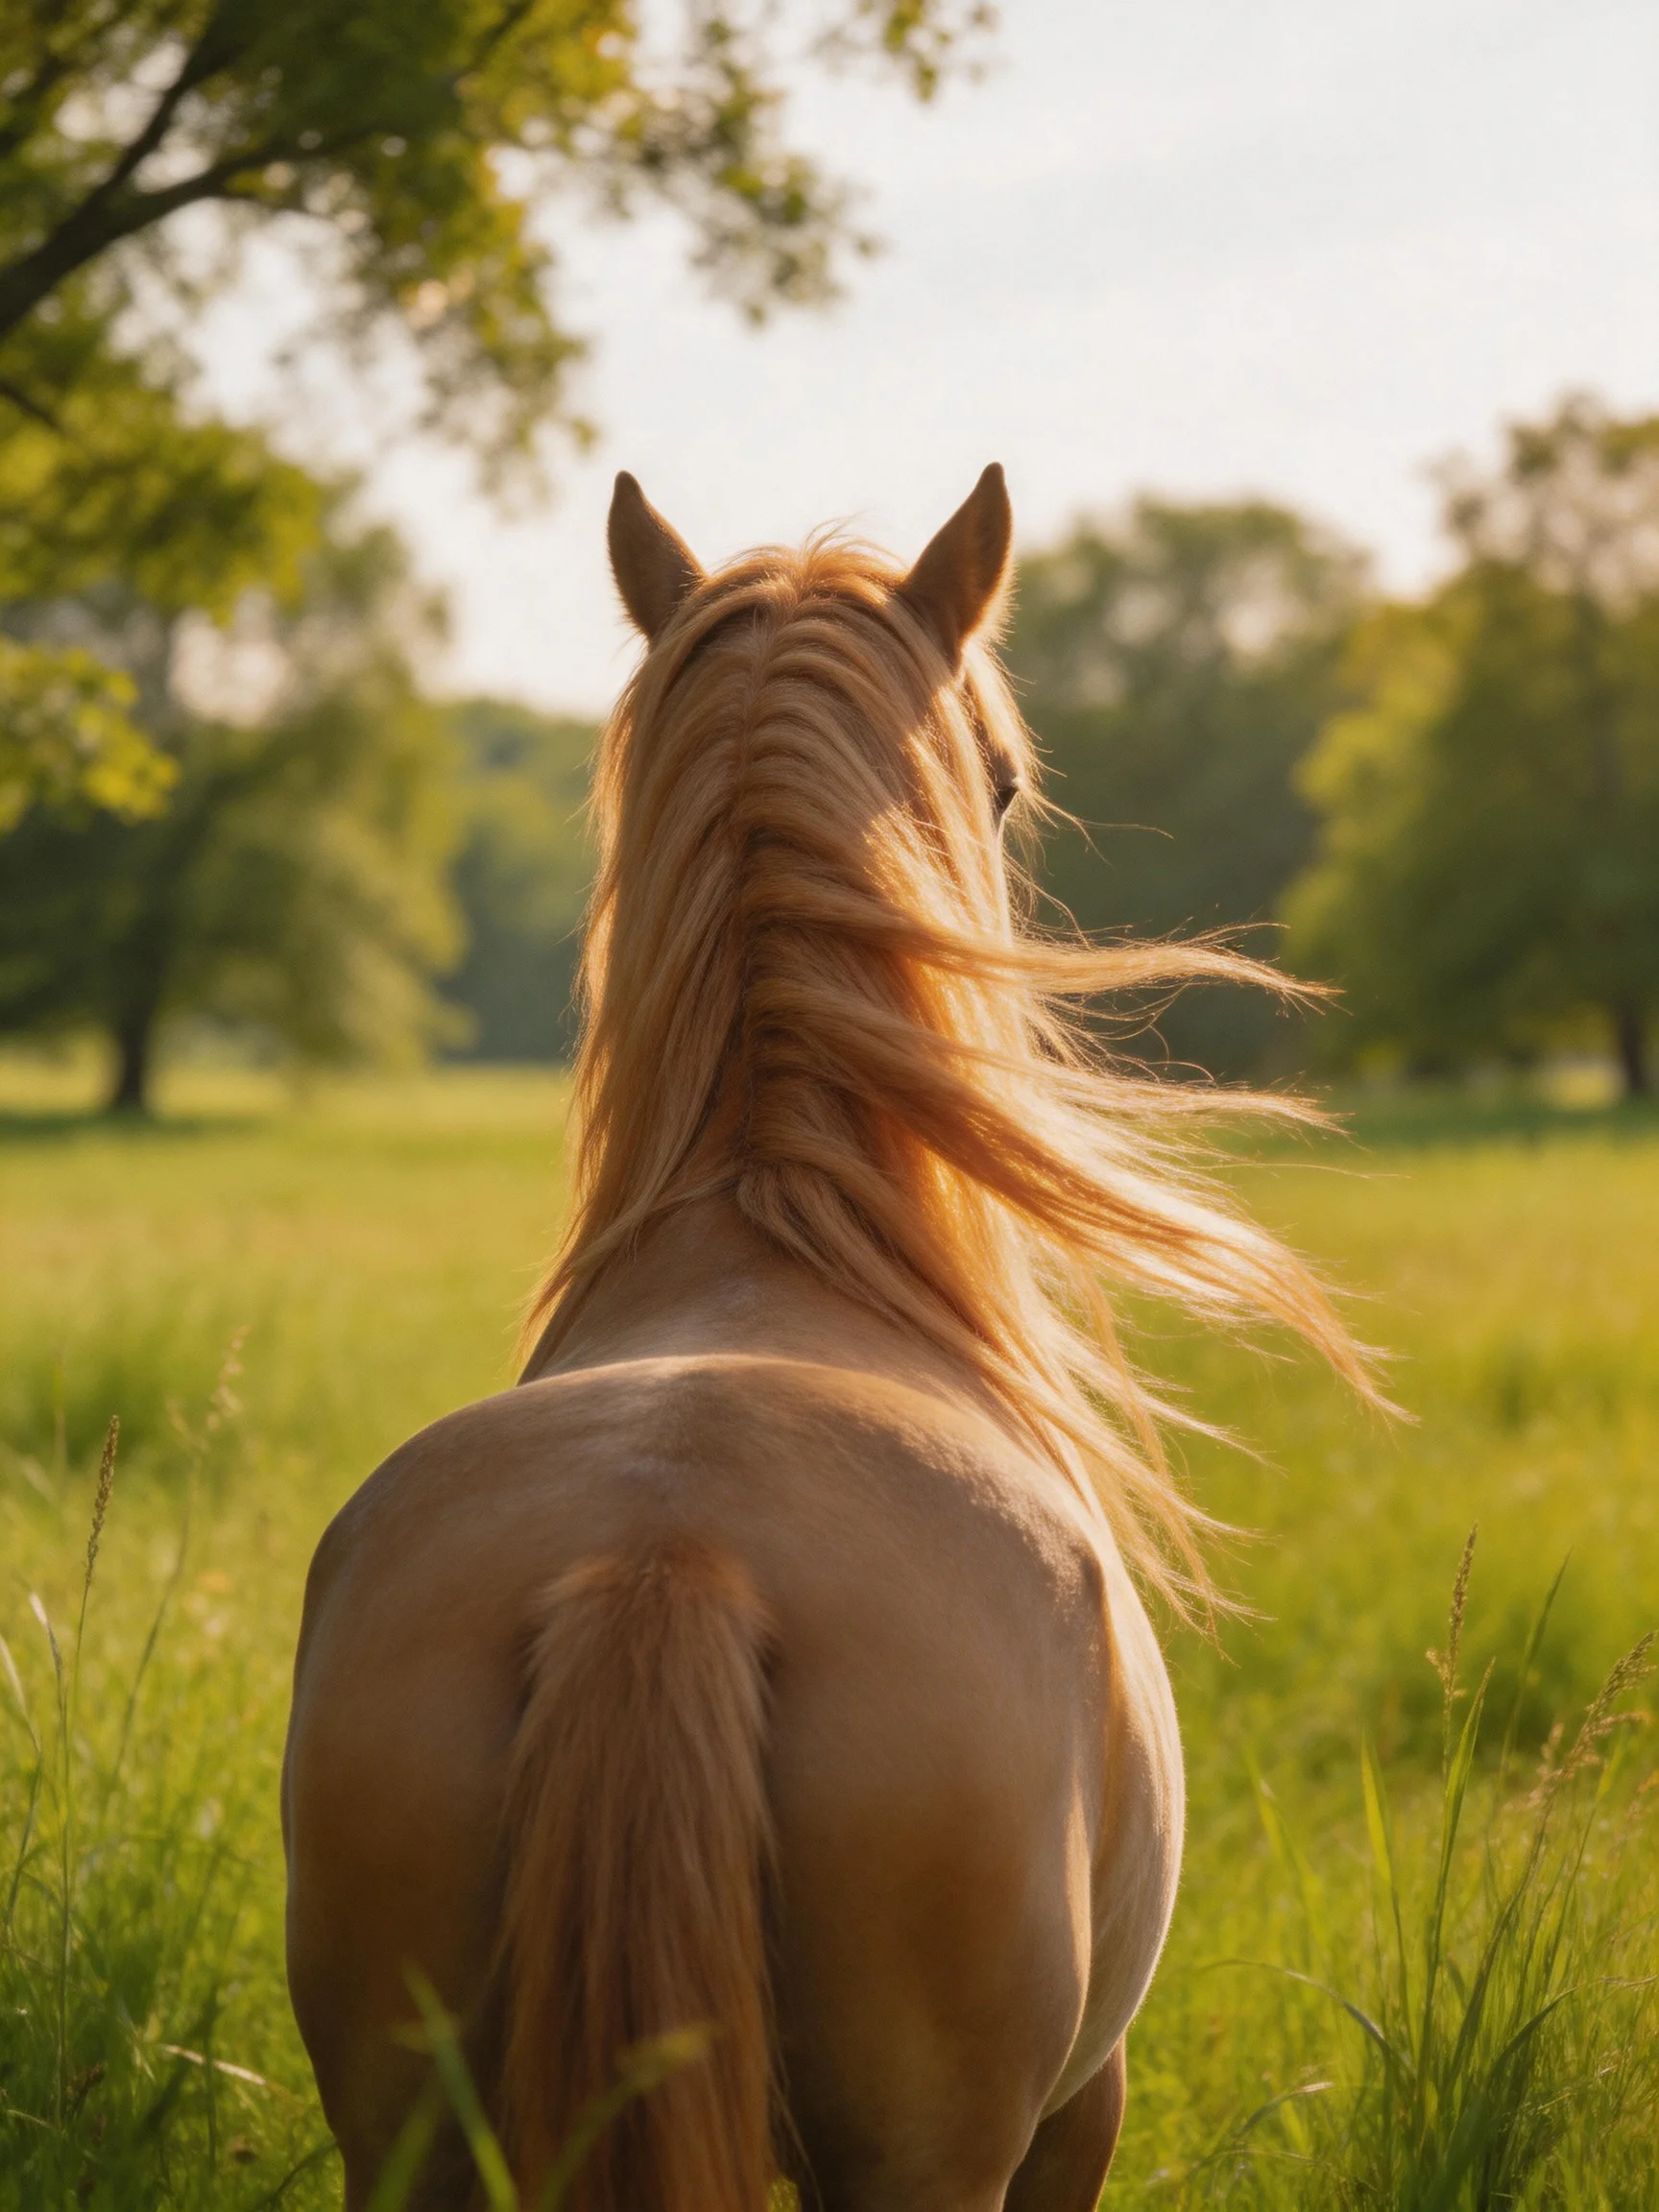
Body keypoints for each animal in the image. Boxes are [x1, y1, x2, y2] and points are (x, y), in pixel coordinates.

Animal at [282, 464, 1369, 2212]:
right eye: (1000, 778)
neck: (772, 1221)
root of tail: (664, 1554)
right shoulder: (1084, 2102)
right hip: (939, 2144)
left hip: (409, 2125)